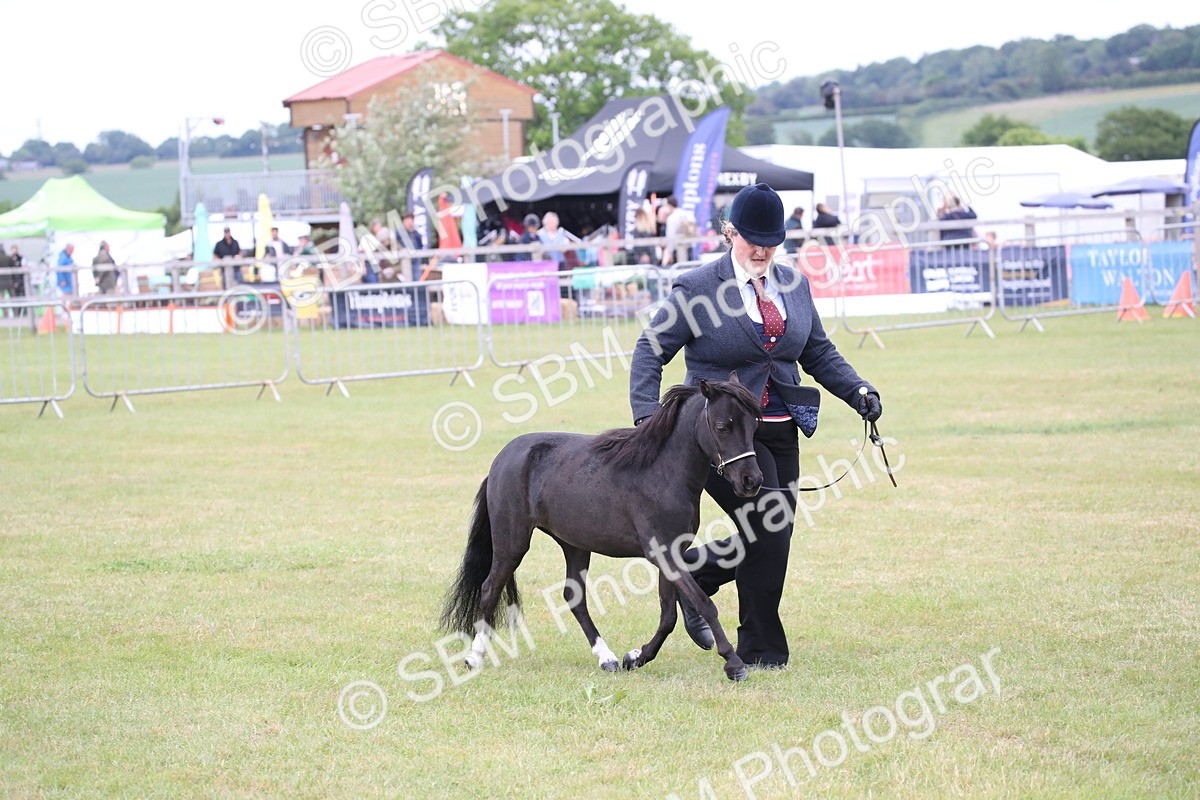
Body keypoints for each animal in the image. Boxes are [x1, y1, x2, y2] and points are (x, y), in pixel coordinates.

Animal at [441, 375, 764, 681]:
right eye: (722, 427)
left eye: (754, 425)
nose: (751, 481)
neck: (661, 471)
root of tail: (503, 458)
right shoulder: (663, 554)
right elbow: (704, 604)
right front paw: (734, 663)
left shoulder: (671, 555)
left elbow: (668, 615)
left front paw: (636, 657)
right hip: (513, 542)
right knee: (489, 588)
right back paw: (474, 657)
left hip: (574, 545)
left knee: (574, 598)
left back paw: (606, 657)